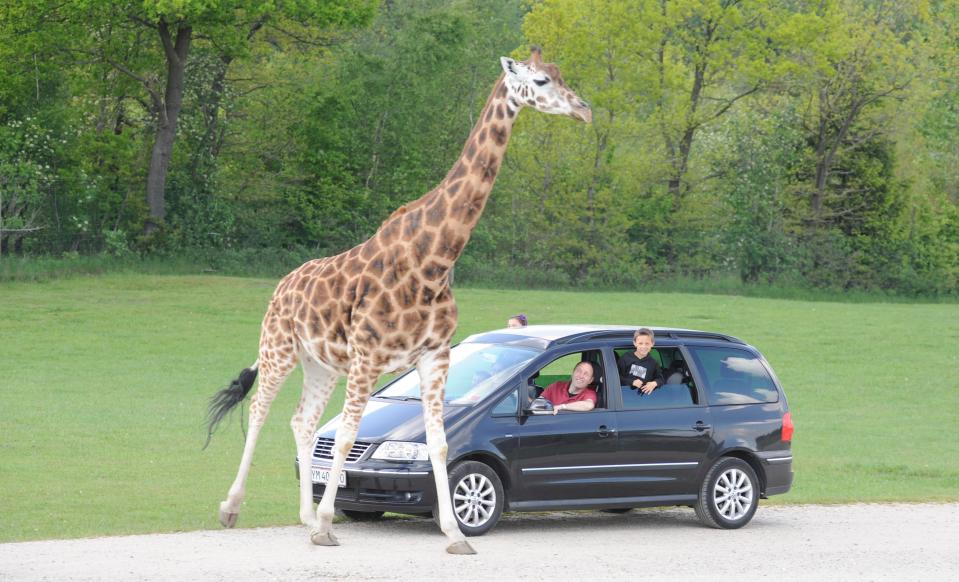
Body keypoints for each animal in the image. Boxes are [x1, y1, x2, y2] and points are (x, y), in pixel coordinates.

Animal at [206, 48, 588, 556]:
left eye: (562, 76)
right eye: (542, 81)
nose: (584, 109)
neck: (434, 260)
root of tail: (283, 284)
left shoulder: (435, 355)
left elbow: (441, 444)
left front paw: (455, 535)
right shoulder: (368, 356)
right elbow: (346, 438)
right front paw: (327, 526)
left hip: (320, 364)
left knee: (302, 421)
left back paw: (303, 516)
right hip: (279, 348)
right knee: (260, 410)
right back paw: (233, 509)